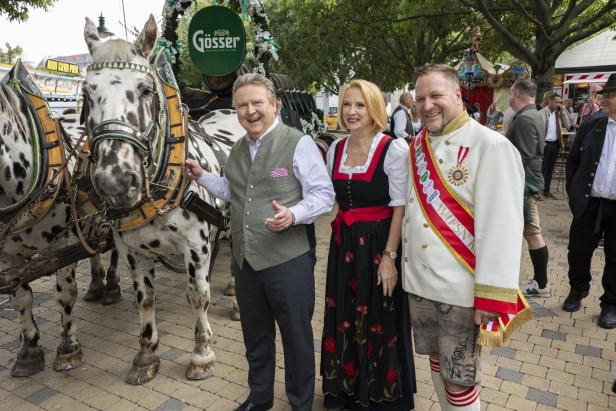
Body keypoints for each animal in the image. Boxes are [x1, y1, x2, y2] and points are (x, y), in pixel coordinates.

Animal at [0, 59, 116, 378]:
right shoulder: (6, 255)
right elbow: (20, 297)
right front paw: (28, 349)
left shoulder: (62, 241)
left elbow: (65, 294)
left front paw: (68, 347)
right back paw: (97, 285)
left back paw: (112, 285)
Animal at [79, 13, 245, 386]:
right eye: (87, 92)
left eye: (144, 89)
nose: (115, 181)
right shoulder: (132, 250)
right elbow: (144, 300)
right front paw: (145, 356)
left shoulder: (196, 246)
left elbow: (198, 295)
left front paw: (201, 354)